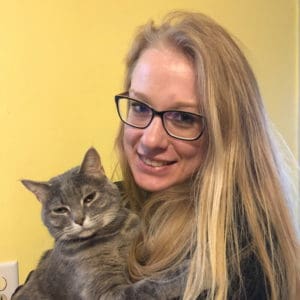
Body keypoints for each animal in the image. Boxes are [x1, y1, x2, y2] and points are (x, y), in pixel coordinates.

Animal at [14, 148, 189, 300]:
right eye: (60, 210)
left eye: (89, 198)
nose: (79, 219)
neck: (112, 236)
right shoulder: (106, 293)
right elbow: (149, 285)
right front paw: (185, 271)